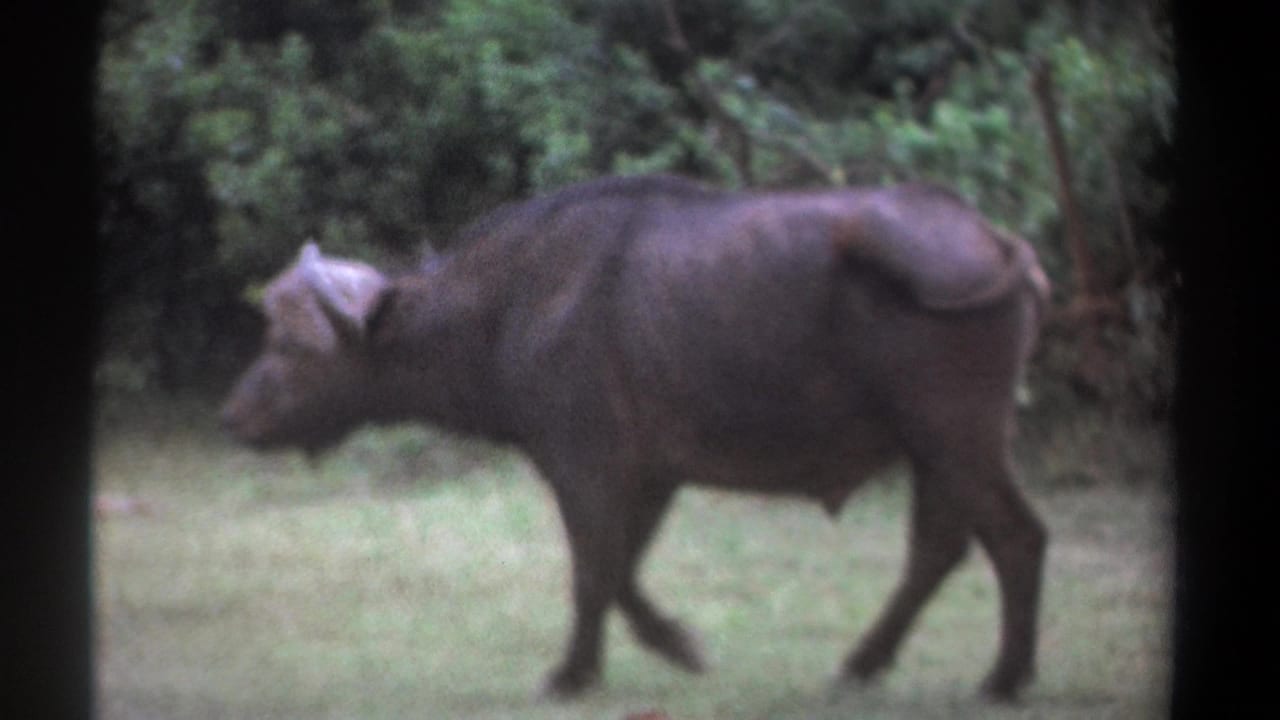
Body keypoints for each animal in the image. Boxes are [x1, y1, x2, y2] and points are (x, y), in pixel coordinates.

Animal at [221, 174, 1049, 700]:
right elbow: (621, 567)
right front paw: (675, 643)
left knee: (1015, 538)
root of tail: (996, 240)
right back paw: (865, 663)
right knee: (938, 549)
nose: (232, 417)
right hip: (935, 450)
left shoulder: (584, 463)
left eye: (290, 345)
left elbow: (594, 569)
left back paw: (1004, 679)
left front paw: (573, 675)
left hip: (958, 437)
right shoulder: (650, 474)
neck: (514, 302)